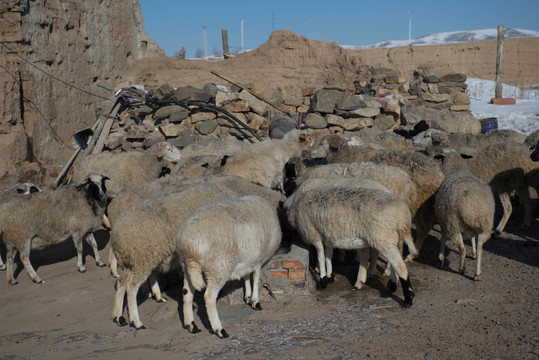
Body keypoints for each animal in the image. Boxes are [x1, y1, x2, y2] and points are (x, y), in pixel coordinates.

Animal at [176, 194, 282, 338]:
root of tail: (188, 246)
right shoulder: (259, 259)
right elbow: (256, 277)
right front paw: (255, 301)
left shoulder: (248, 259)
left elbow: (246, 275)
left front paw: (248, 296)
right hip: (218, 268)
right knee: (209, 297)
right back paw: (220, 330)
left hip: (187, 269)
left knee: (186, 293)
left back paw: (191, 326)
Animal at [286, 186, 418, 306]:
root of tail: (403, 215)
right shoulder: (327, 236)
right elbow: (328, 255)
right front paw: (330, 276)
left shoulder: (314, 234)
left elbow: (321, 257)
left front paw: (322, 281)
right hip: (391, 239)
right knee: (394, 265)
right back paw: (389, 290)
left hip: (383, 238)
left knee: (400, 266)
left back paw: (408, 299)